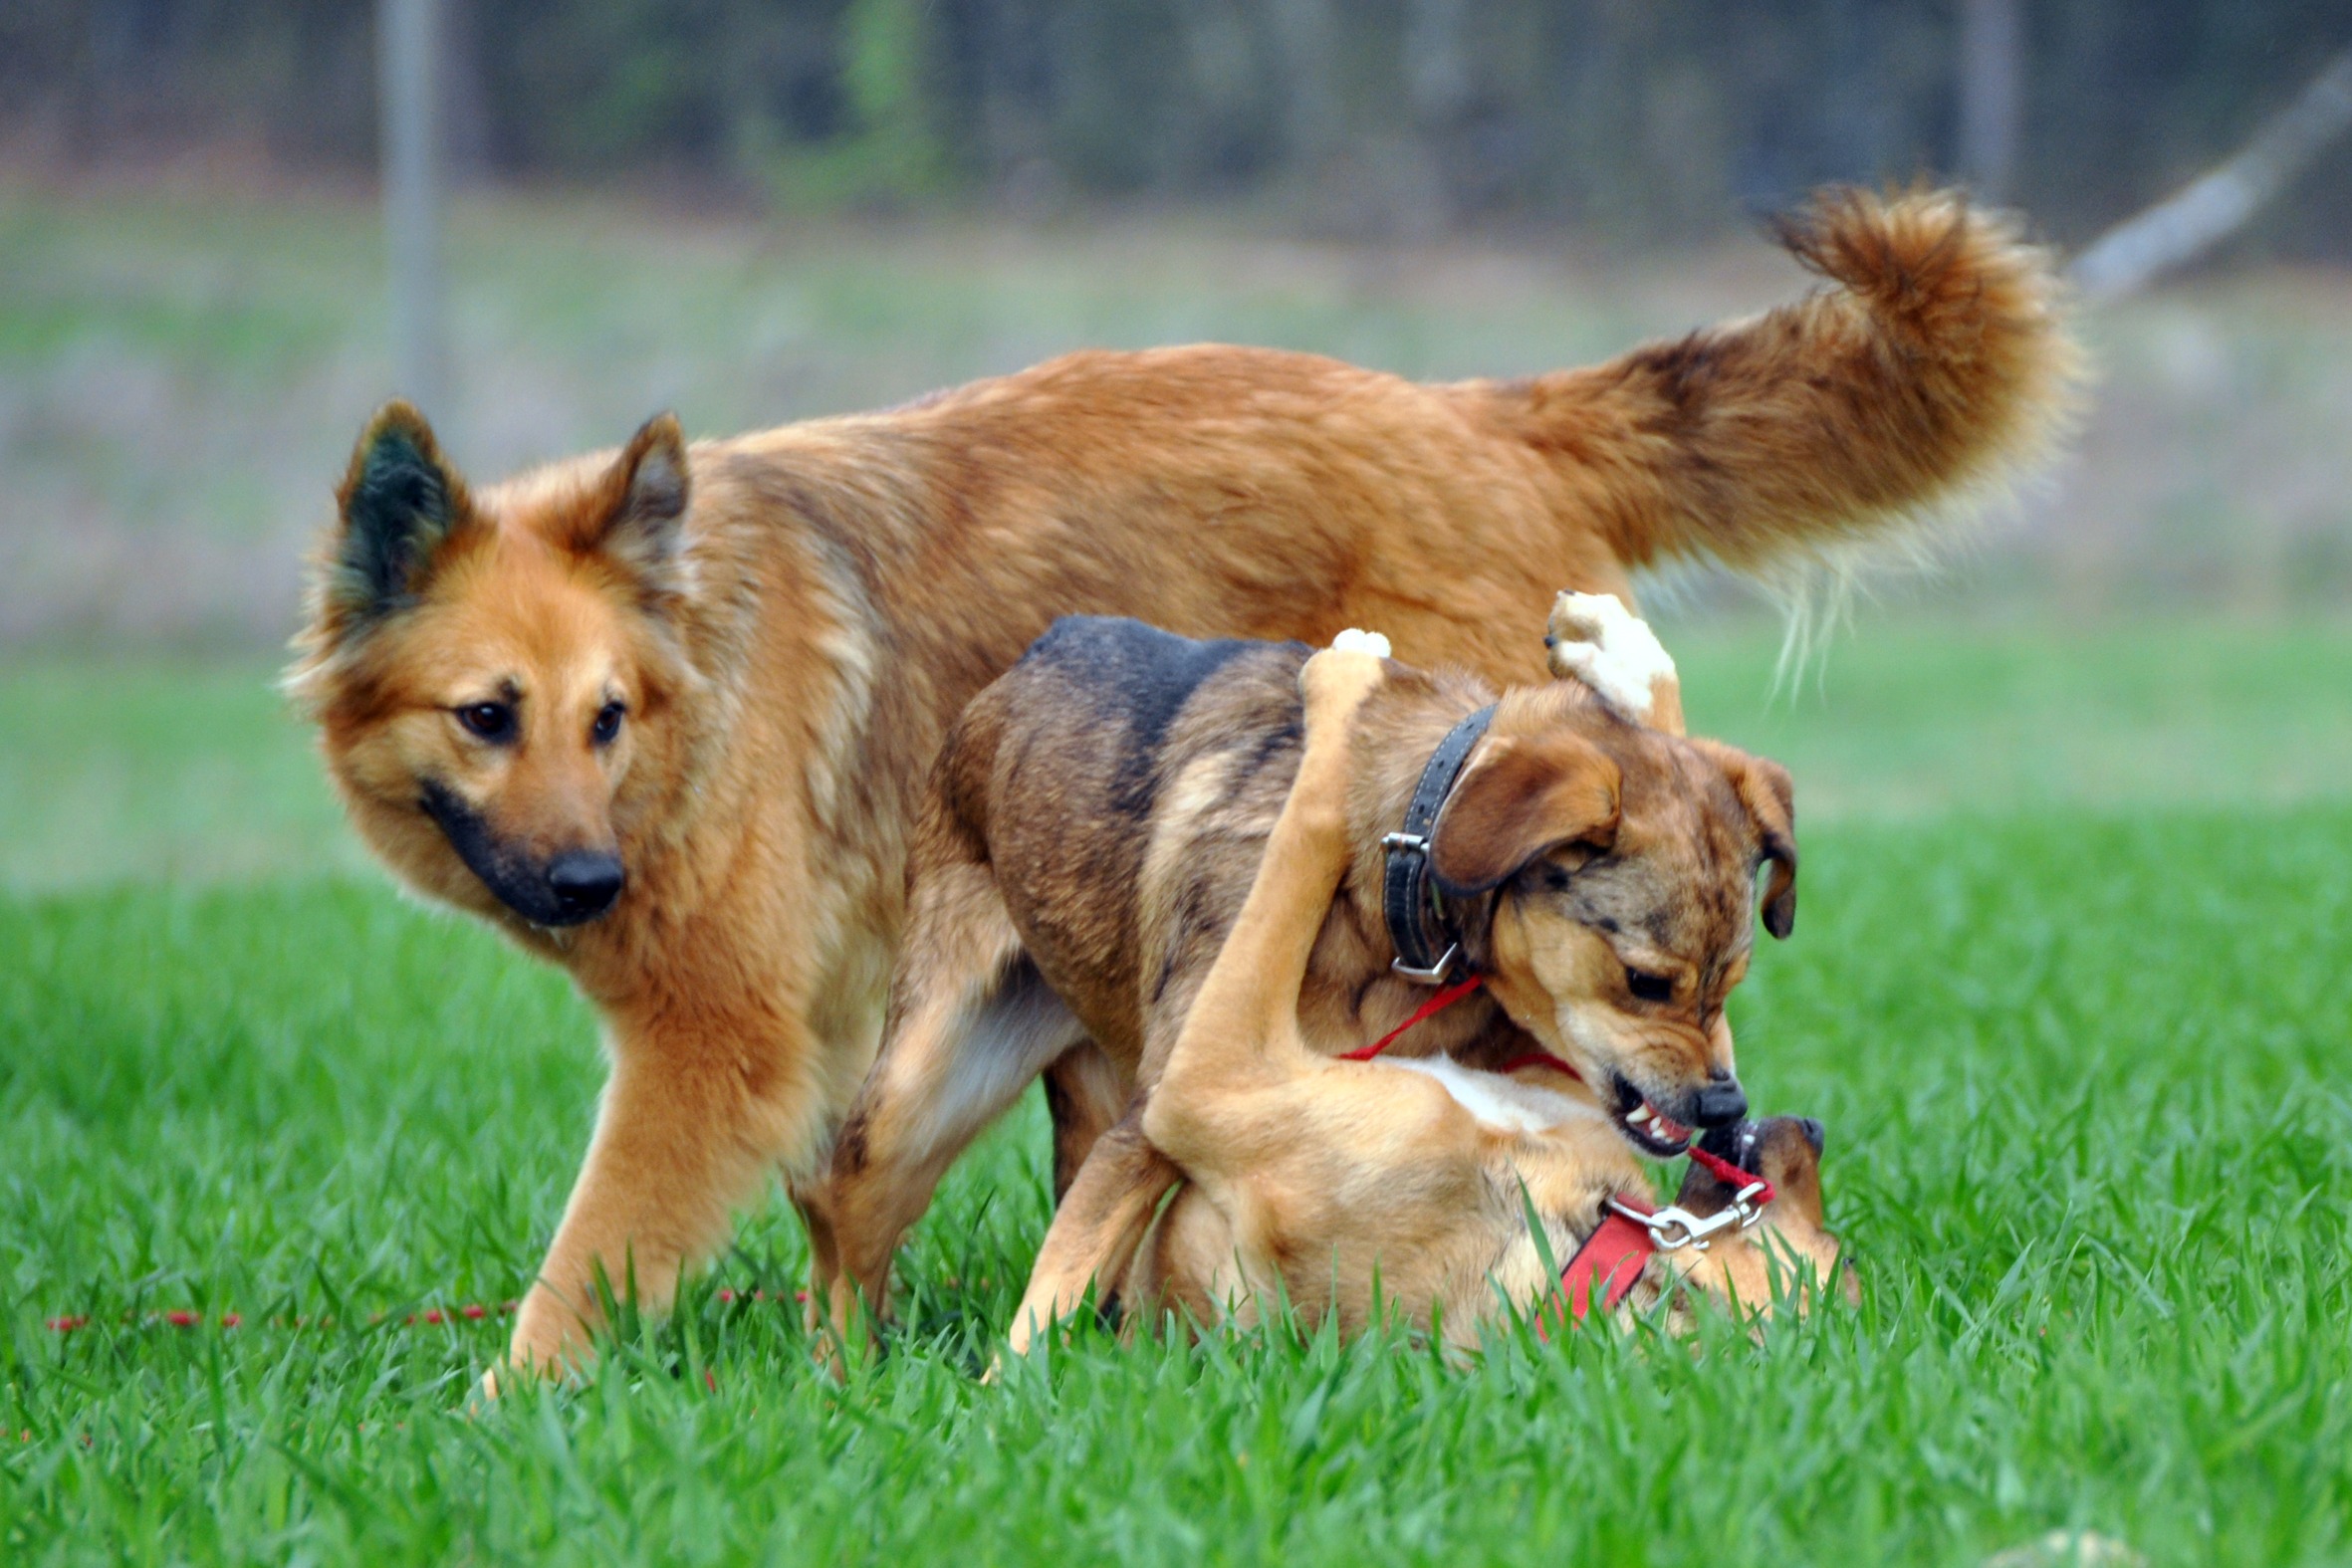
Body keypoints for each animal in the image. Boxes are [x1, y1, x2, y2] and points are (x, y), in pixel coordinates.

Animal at [818, 594, 1806, 1344]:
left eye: (1730, 984)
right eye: (1645, 981)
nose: (1727, 1108)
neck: (1404, 916)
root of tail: (1038, 651)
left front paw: (1616, 653)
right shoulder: (1163, 1115)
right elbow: (1060, 1280)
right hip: (912, 1103)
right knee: (841, 1239)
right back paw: (847, 1378)